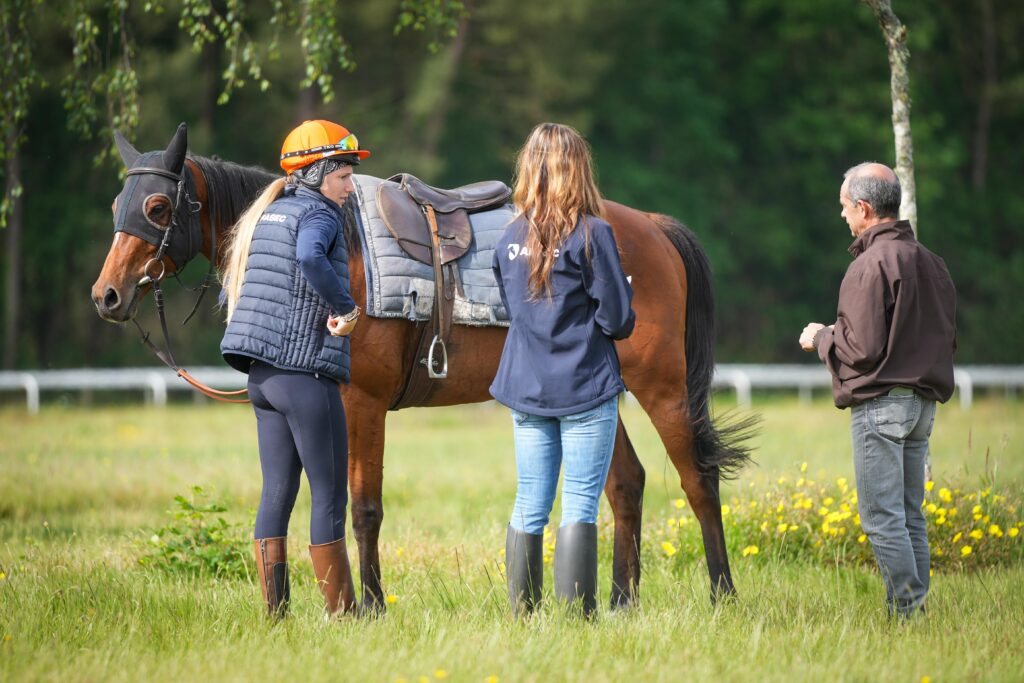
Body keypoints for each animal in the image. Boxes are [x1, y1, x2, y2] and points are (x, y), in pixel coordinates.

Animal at [91, 123, 752, 610]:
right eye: (118, 203)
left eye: (157, 206)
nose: (107, 295)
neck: (344, 248)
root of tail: (653, 228)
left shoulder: (363, 404)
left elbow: (363, 508)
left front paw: (371, 606)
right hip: (594, 393)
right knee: (625, 484)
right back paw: (618, 601)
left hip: (661, 388)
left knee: (696, 479)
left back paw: (722, 594)